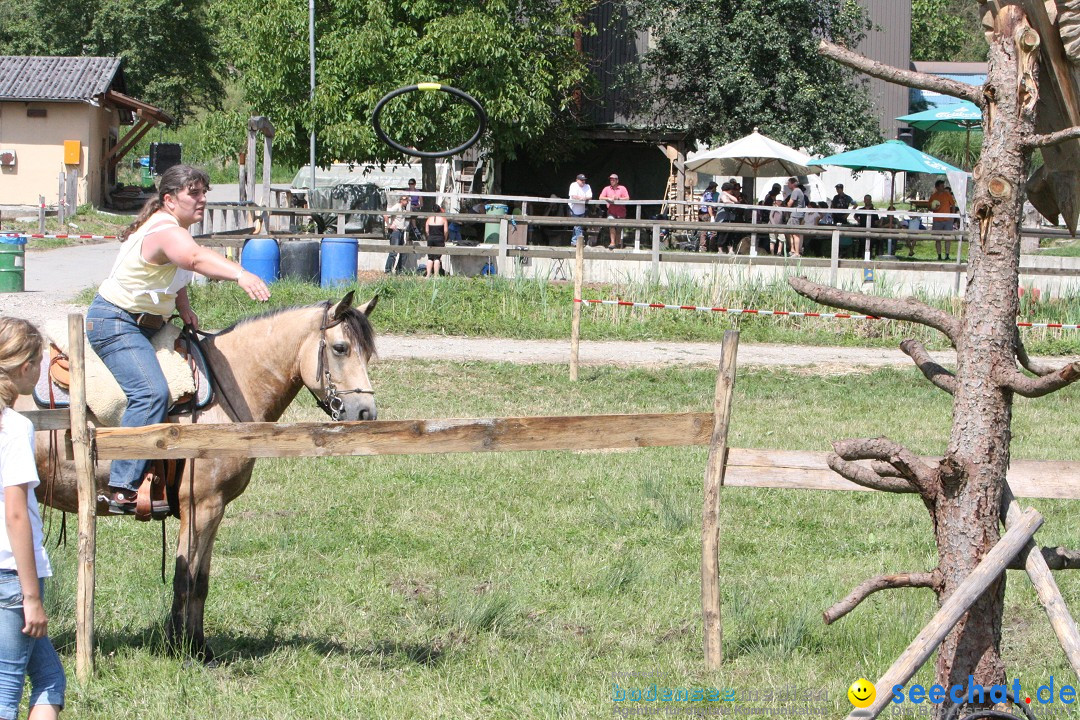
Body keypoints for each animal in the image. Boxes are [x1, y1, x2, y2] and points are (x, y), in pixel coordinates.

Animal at [16, 289, 380, 660]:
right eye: (340, 348)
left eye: (367, 352)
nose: (365, 412)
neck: (227, 391)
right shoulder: (200, 506)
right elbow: (184, 578)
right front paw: (178, 649)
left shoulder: (214, 509)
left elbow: (201, 581)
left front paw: (200, 647)